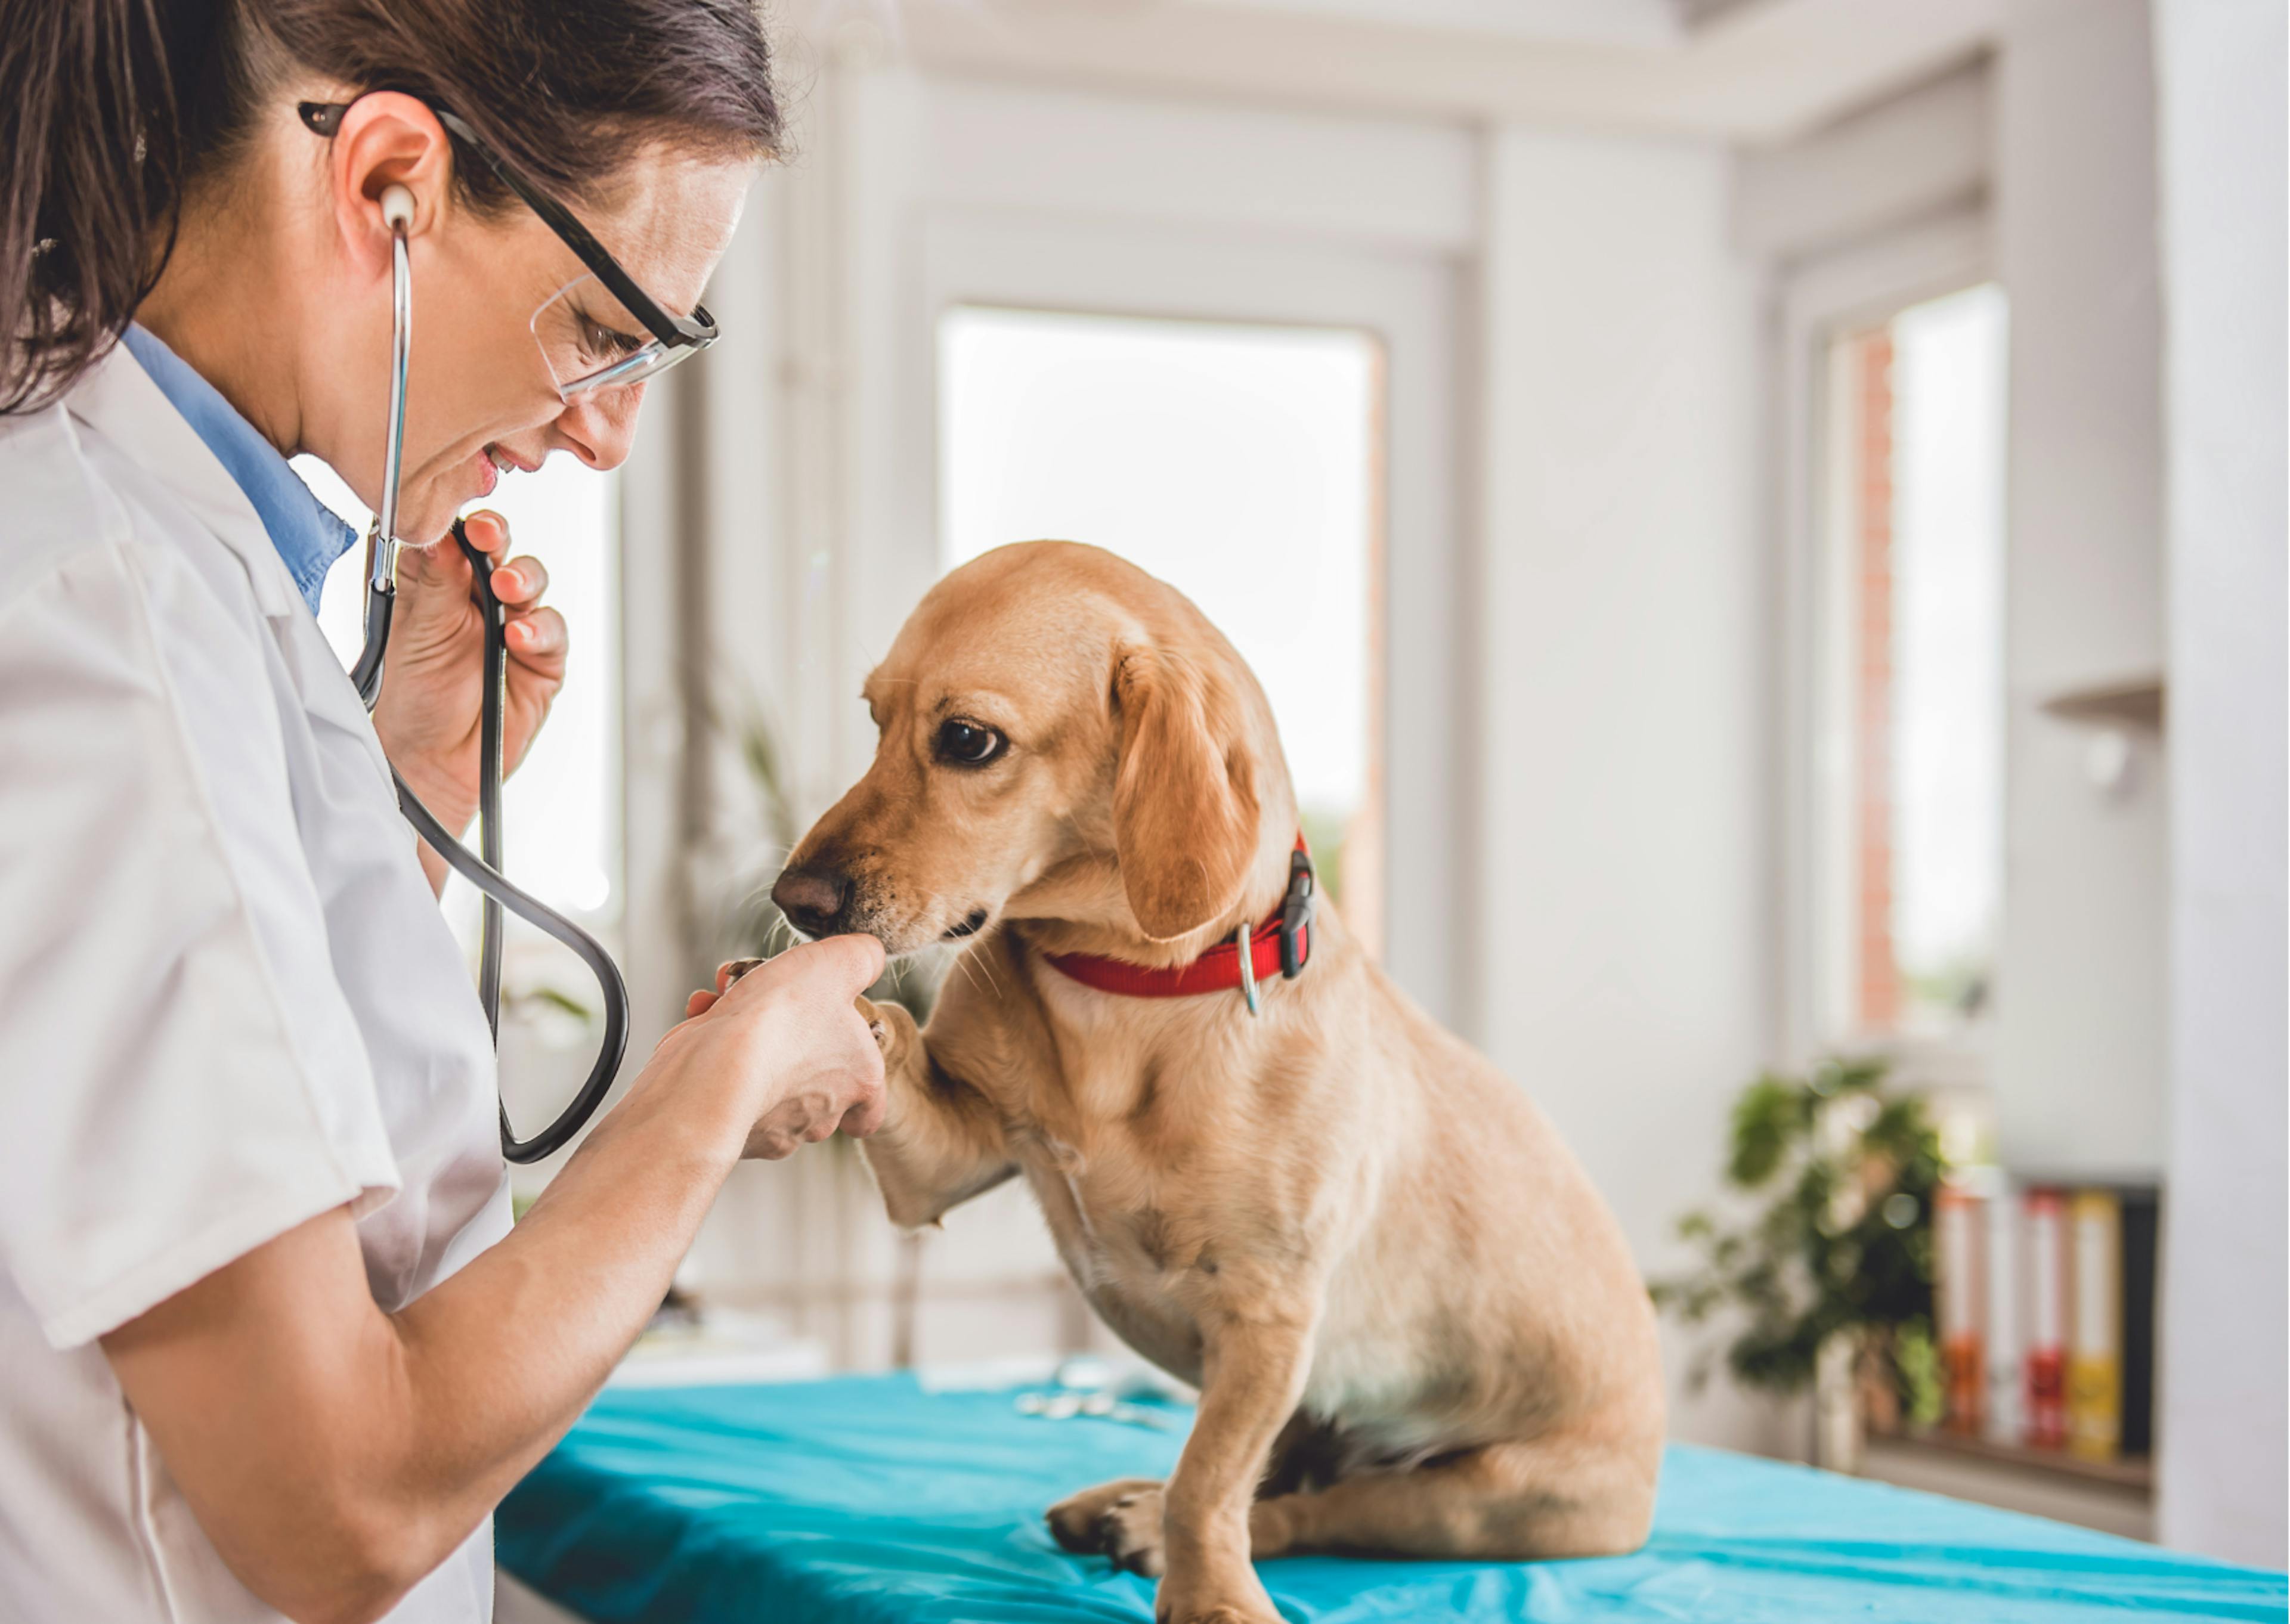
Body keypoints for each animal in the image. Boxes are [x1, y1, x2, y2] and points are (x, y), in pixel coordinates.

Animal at [760, 545, 1658, 1622]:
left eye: (968, 739)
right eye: (874, 719)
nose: (793, 900)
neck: (1122, 991)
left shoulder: (1266, 1318)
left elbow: (1209, 1484)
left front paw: (1207, 1595)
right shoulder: (940, 1166)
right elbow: (892, 1046)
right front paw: (812, 1016)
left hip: (1484, 1500)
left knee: (1309, 1507)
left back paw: (1150, 1523)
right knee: (1279, 1482)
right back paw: (1122, 1501)